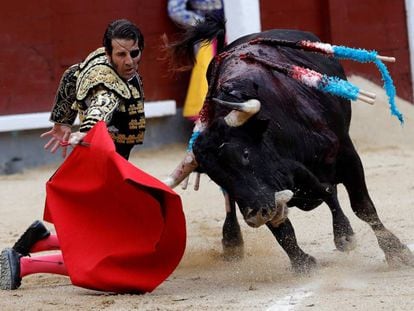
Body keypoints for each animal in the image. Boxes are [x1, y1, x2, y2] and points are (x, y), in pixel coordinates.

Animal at [165, 14, 414, 272]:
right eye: (216, 177)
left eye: (245, 154)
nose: (255, 216)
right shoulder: (266, 193)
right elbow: (281, 228)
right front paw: (302, 263)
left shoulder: (347, 155)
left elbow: (362, 206)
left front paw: (396, 252)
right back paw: (233, 243)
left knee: (333, 194)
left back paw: (344, 235)